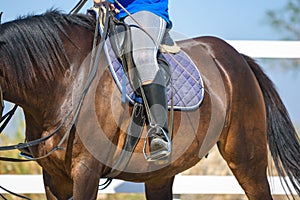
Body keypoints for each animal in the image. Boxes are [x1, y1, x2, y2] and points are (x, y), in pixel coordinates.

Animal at [0, 9, 298, 200]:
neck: (69, 77)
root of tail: (236, 56)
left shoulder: (86, 171)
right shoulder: (53, 177)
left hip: (247, 159)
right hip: (160, 175)